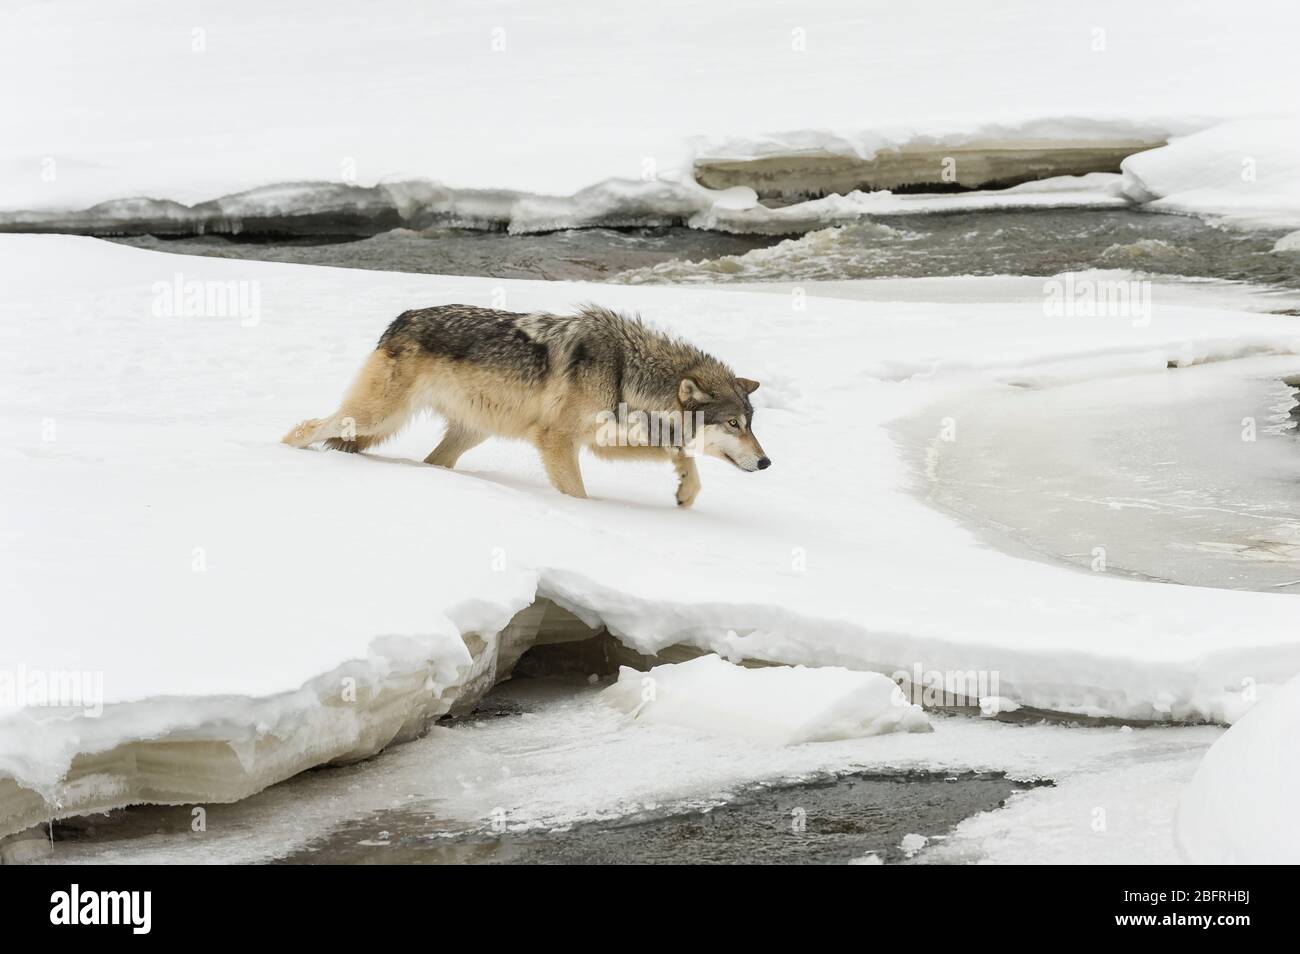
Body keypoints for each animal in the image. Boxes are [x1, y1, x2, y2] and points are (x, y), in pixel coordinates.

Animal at [282, 306, 769, 509]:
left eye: (748, 423)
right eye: (733, 423)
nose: (766, 463)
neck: (627, 370)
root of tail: (399, 320)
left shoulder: (600, 440)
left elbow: (682, 453)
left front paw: (686, 492)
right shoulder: (558, 441)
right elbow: (578, 494)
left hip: (469, 433)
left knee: (433, 462)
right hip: (375, 415)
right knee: (308, 426)